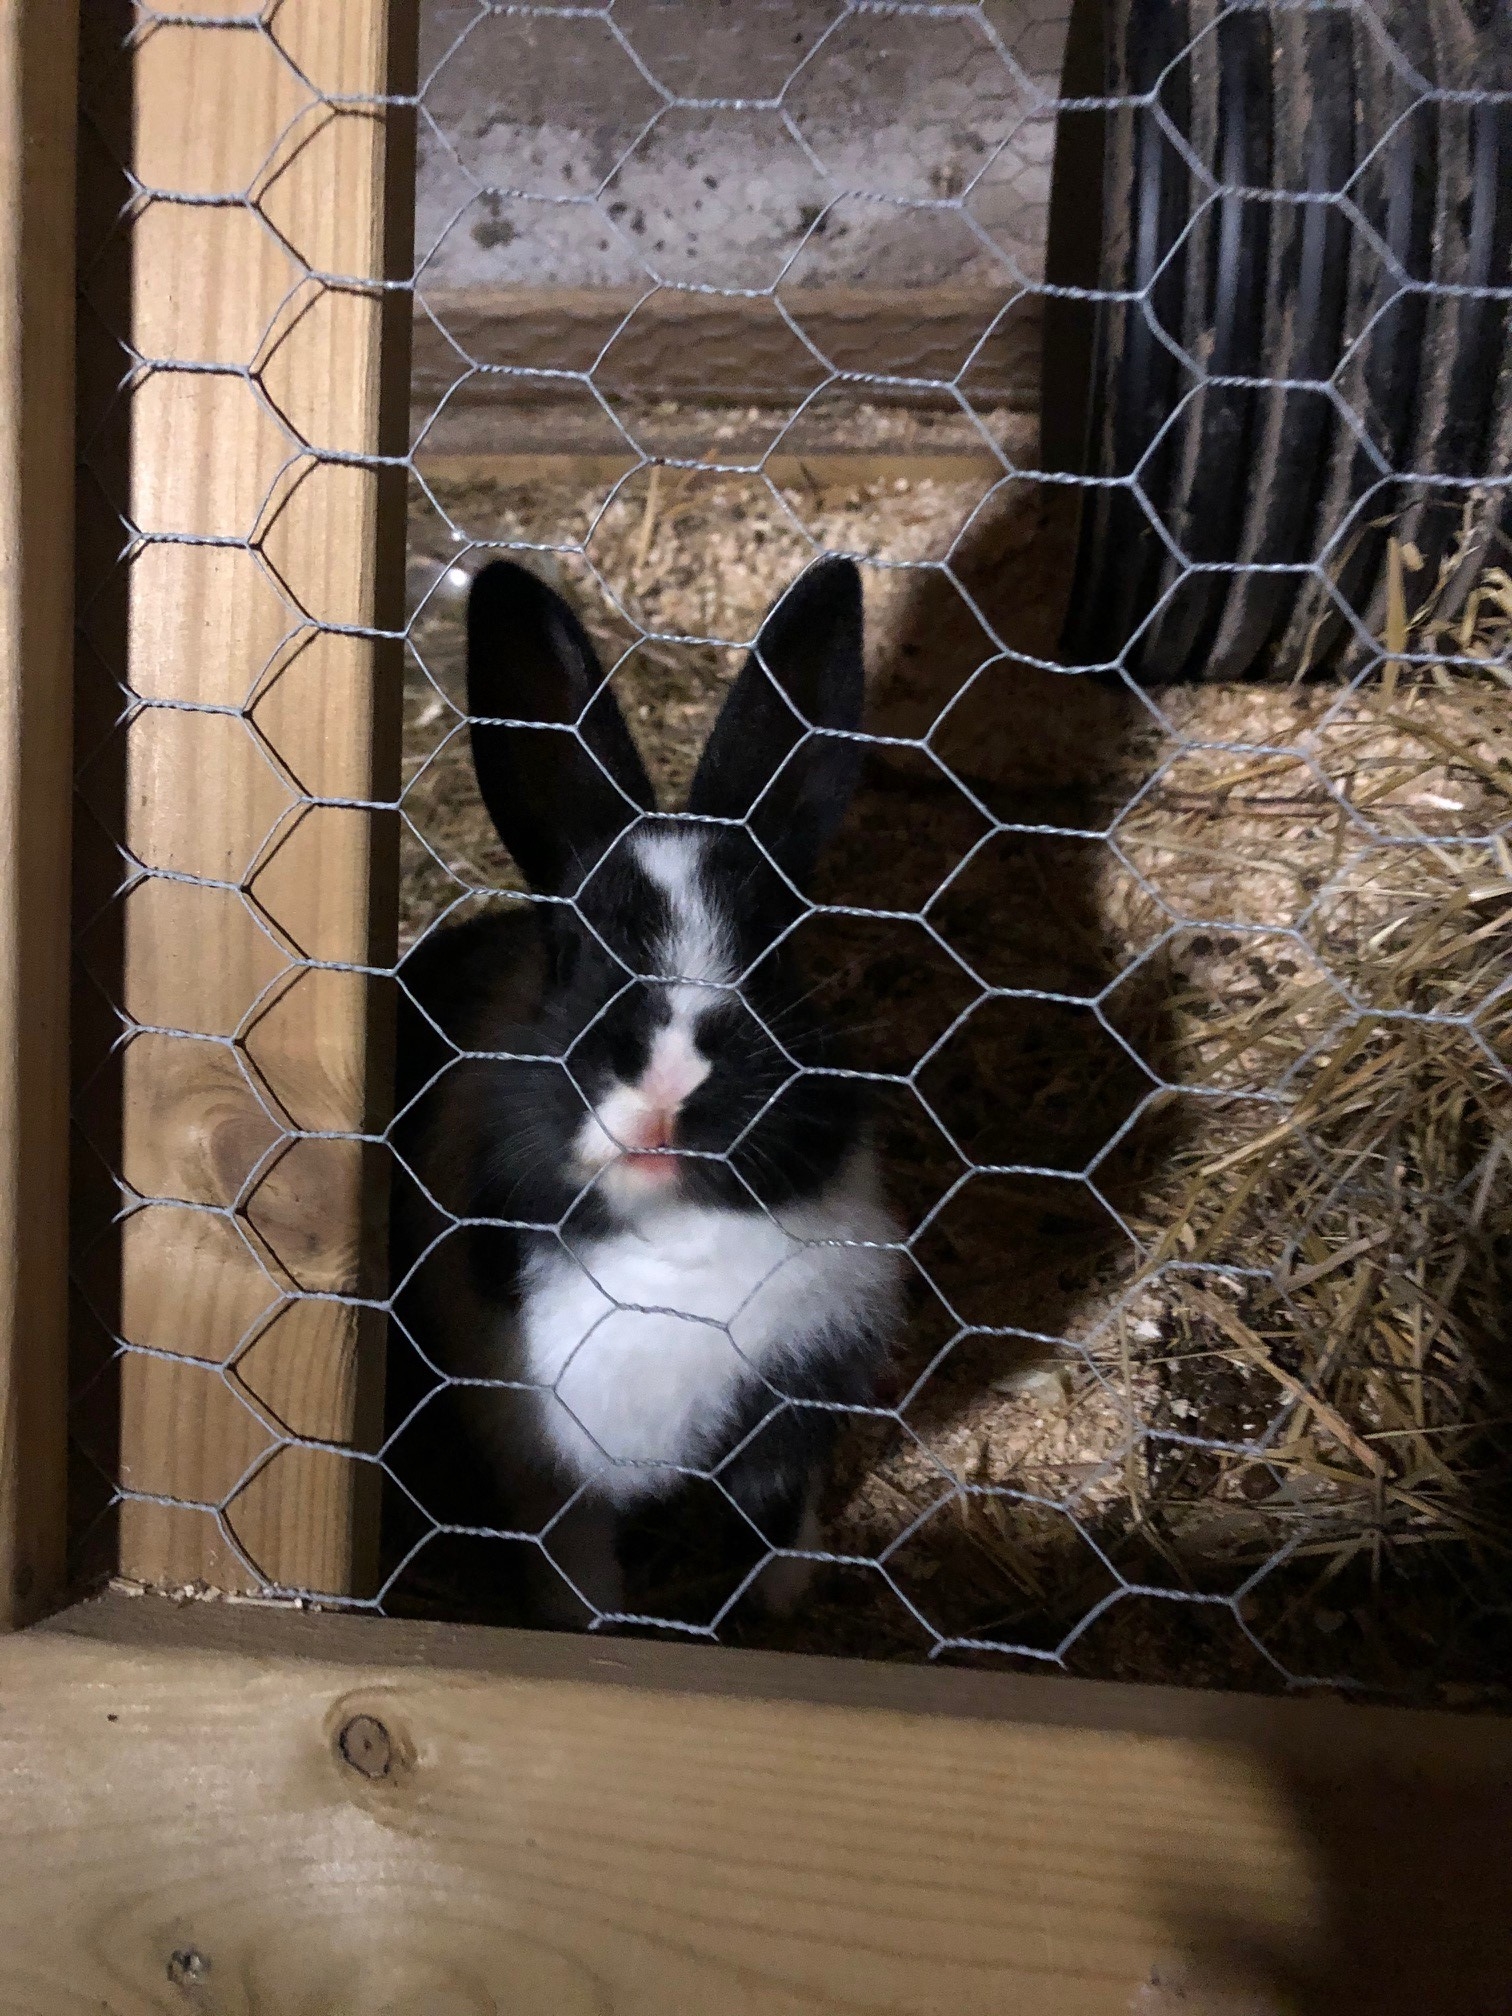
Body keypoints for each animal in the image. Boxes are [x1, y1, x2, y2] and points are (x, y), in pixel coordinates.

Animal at [387, 554, 904, 1629]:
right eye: (574, 955)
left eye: (775, 960)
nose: (672, 1085)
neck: (672, 1246)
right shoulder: (545, 1470)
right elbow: (578, 1557)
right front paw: (589, 1626)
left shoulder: (788, 1411)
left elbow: (774, 1516)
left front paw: (781, 1601)